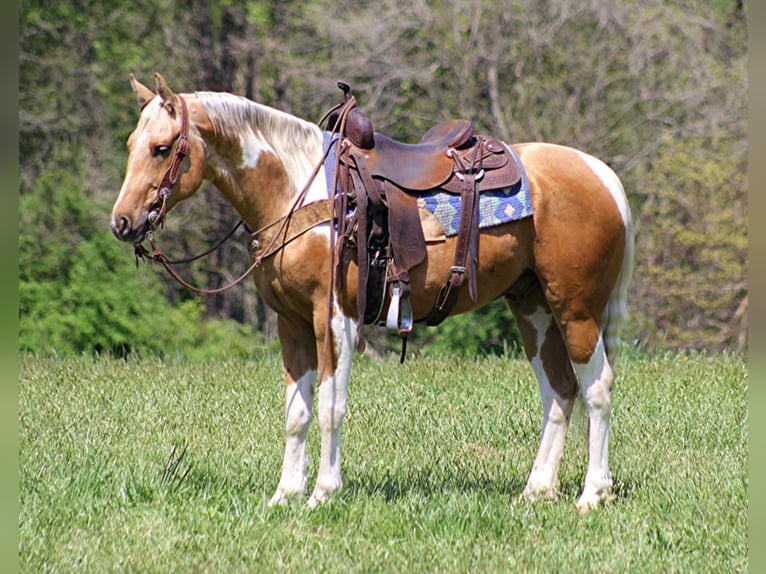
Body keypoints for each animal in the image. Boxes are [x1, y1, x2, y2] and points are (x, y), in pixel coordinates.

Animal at [108, 73, 636, 516]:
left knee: (597, 388)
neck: (298, 190)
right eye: (132, 144)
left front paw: (323, 492)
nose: (122, 223)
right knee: (559, 390)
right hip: (533, 308)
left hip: (576, 308)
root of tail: (600, 174)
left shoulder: (334, 318)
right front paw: (285, 493)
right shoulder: (290, 324)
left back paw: (593, 494)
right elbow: (296, 413)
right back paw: (537, 490)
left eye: (161, 149)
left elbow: (329, 407)